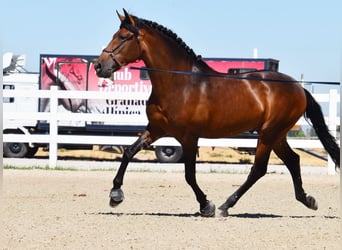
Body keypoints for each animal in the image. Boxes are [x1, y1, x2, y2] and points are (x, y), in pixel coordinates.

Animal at [93, 9, 340, 217]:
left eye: (123, 37)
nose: (98, 66)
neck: (180, 83)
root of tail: (298, 87)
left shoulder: (189, 137)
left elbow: (189, 174)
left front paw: (206, 205)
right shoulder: (156, 129)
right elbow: (128, 152)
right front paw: (115, 195)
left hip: (269, 133)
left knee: (259, 169)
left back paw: (225, 206)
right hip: (276, 135)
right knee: (293, 160)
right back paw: (307, 200)